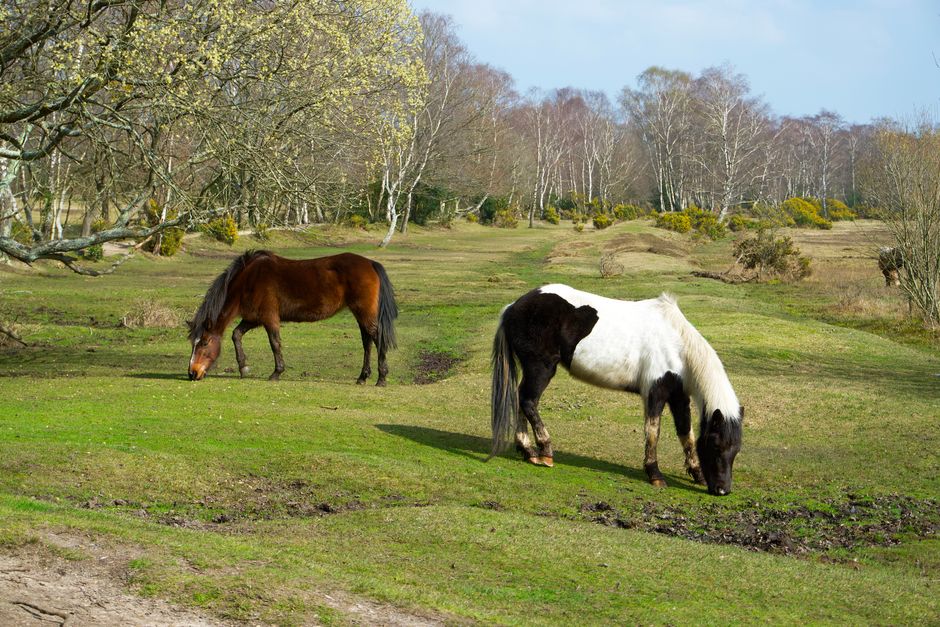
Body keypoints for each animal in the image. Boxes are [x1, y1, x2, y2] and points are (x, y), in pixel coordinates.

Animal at [188, 250, 398, 384]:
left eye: (204, 343)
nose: (192, 373)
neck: (249, 279)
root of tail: (370, 263)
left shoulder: (269, 318)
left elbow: (275, 343)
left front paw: (276, 373)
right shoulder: (253, 318)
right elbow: (236, 335)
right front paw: (243, 367)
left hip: (364, 312)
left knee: (377, 339)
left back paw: (381, 378)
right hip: (361, 314)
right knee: (367, 342)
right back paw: (362, 377)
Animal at [490, 284, 743, 496]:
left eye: (736, 449)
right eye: (716, 445)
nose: (722, 490)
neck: (677, 344)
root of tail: (513, 307)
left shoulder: (679, 397)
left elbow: (686, 434)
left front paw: (697, 473)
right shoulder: (656, 393)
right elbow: (653, 432)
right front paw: (655, 475)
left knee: (522, 400)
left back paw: (529, 452)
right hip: (541, 369)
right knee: (528, 401)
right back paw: (545, 451)